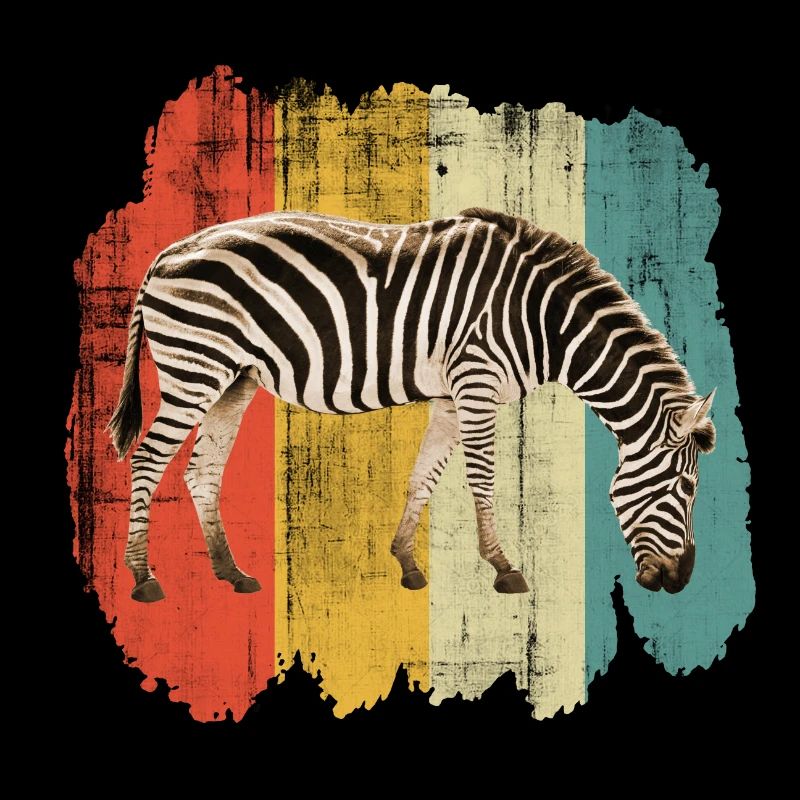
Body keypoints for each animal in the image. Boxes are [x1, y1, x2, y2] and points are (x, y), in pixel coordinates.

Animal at [108, 208, 716, 603]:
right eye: (685, 488)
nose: (683, 581)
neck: (544, 319)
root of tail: (167, 251)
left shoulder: (451, 392)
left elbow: (424, 475)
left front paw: (407, 562)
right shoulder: (476, 380)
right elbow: (481, 478)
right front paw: (504, 568)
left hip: (232, 377)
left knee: (202, 470)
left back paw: (231, 573)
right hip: (195, 366)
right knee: (148, 460)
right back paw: (143, 578)